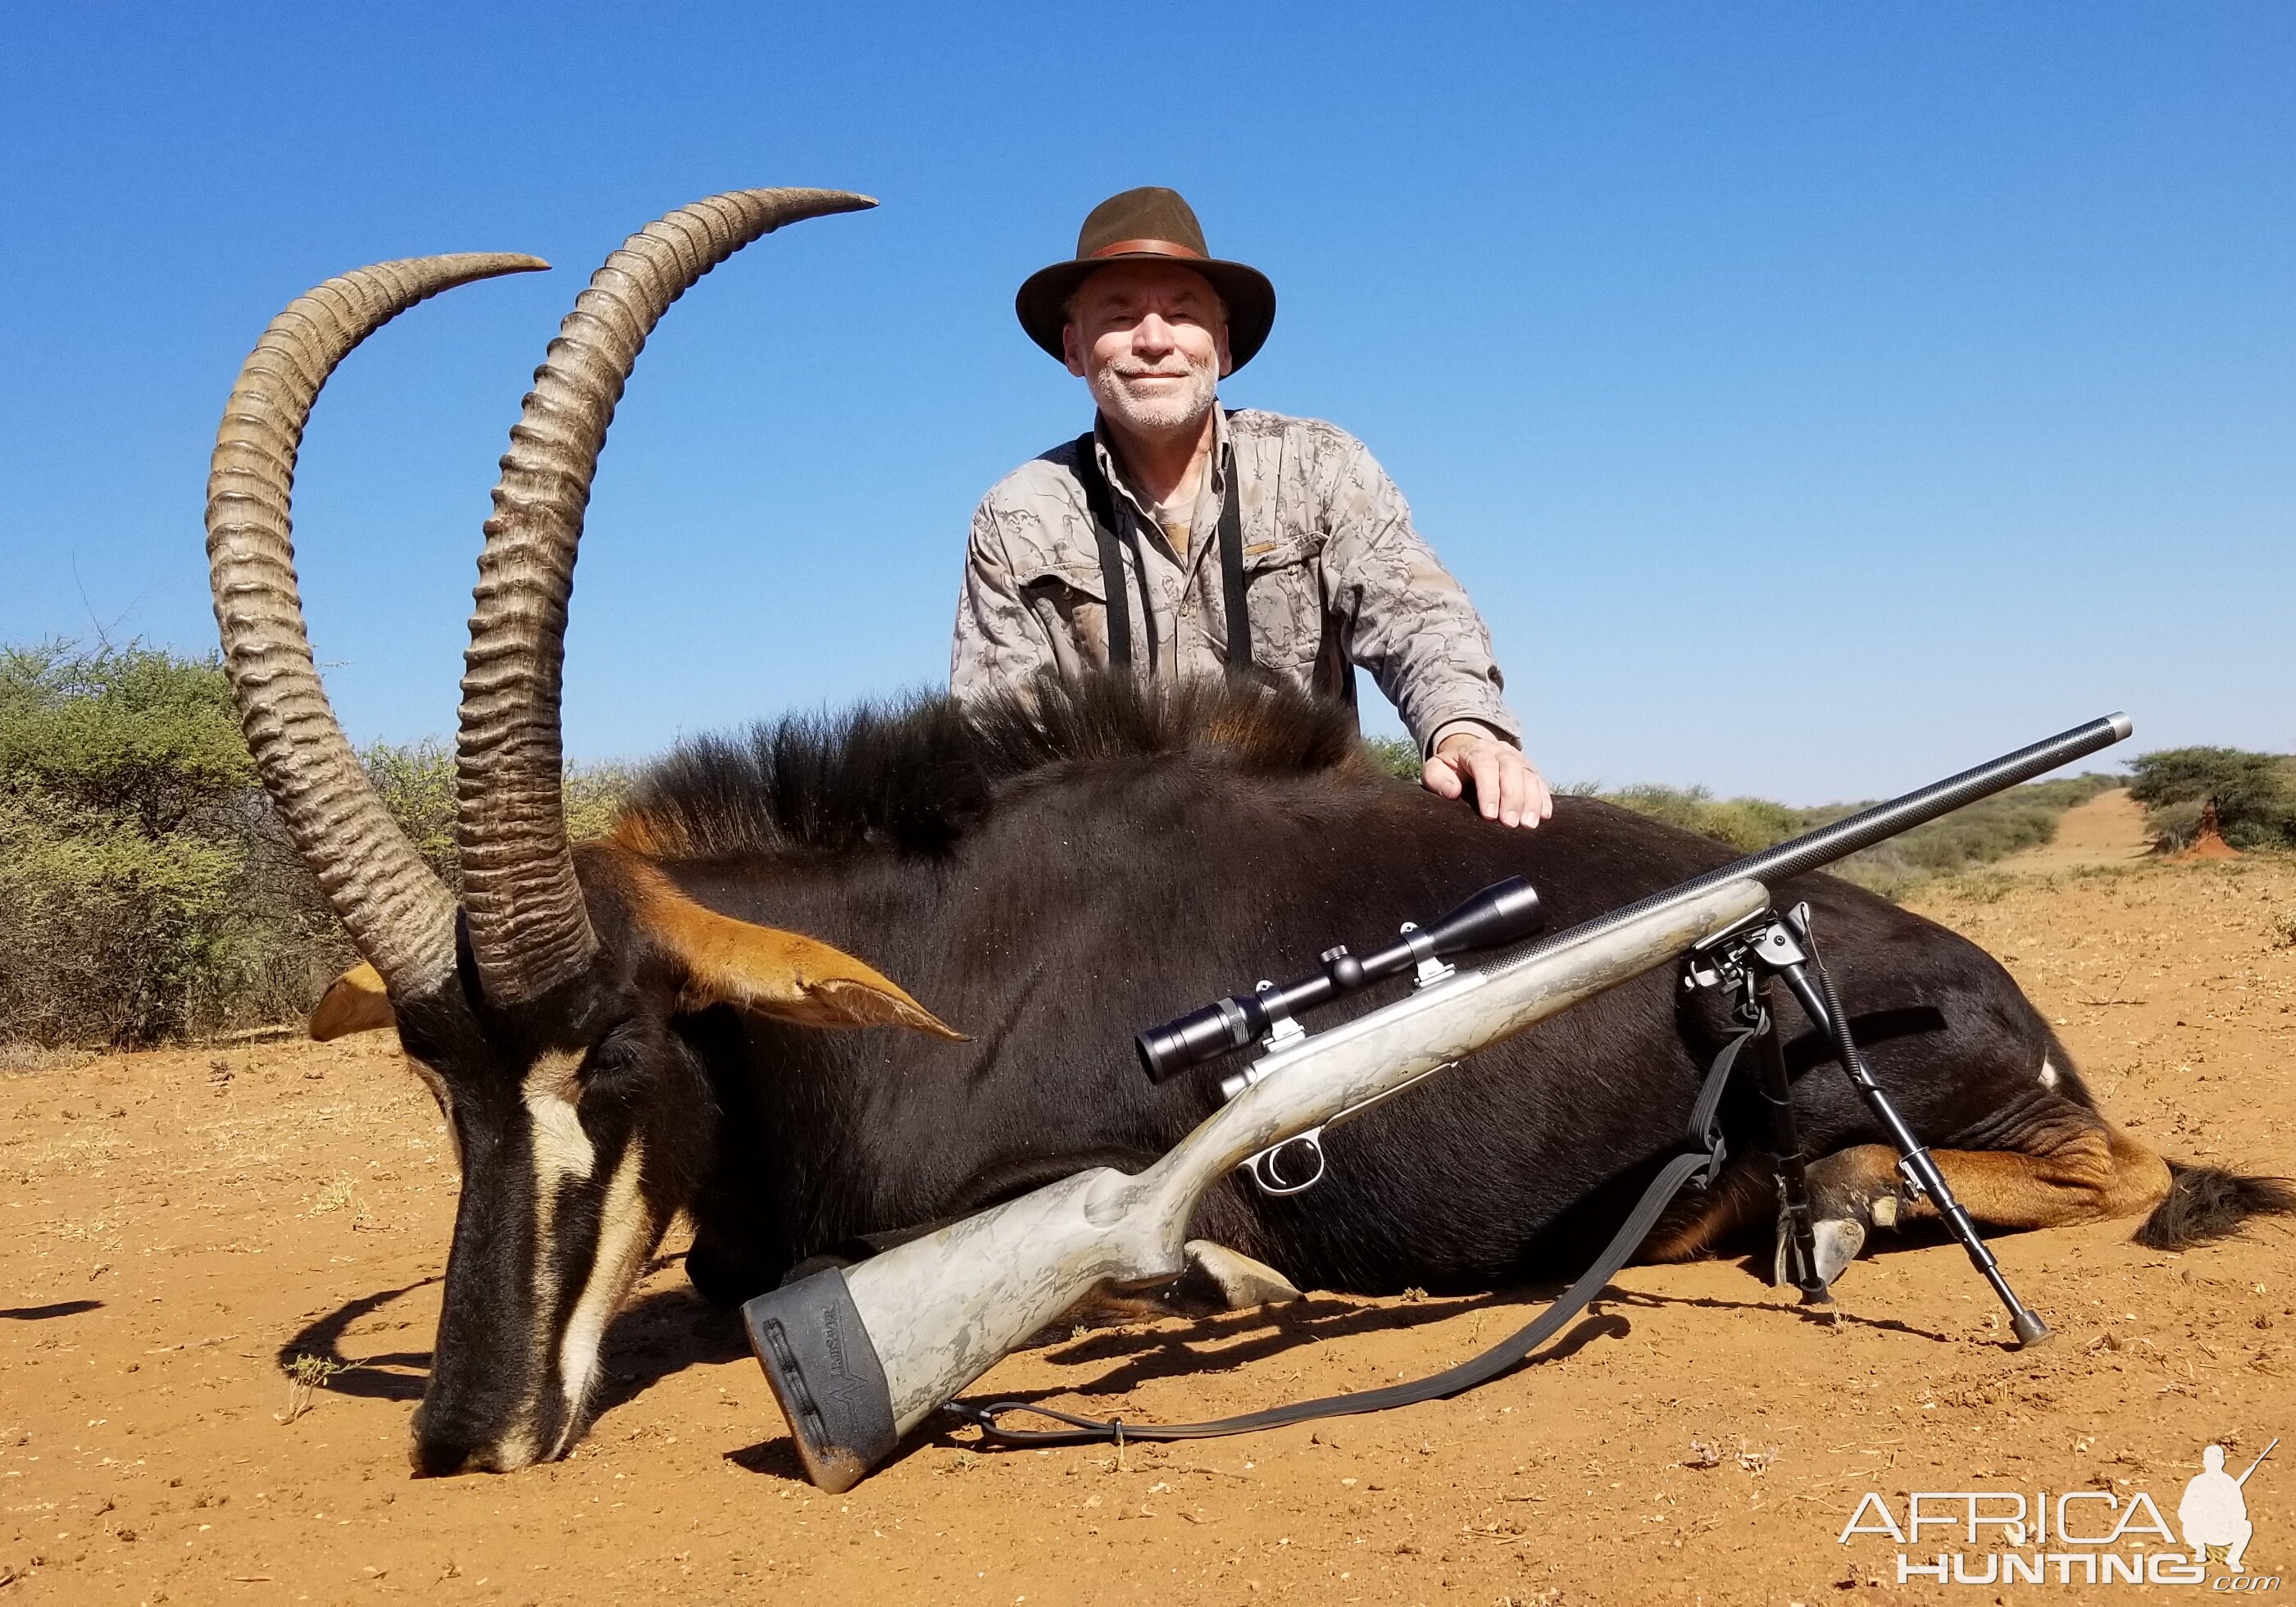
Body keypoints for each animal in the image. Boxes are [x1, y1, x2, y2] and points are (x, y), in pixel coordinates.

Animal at [207, 184, 2286, 1469]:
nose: (466, 1433)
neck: (927, 966)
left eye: (618, 1052)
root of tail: (1984, 972)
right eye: (436, 1081)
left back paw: (1835, 1210)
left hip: (1828, 1052)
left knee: (2106, 1163)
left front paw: (1230, 1276)